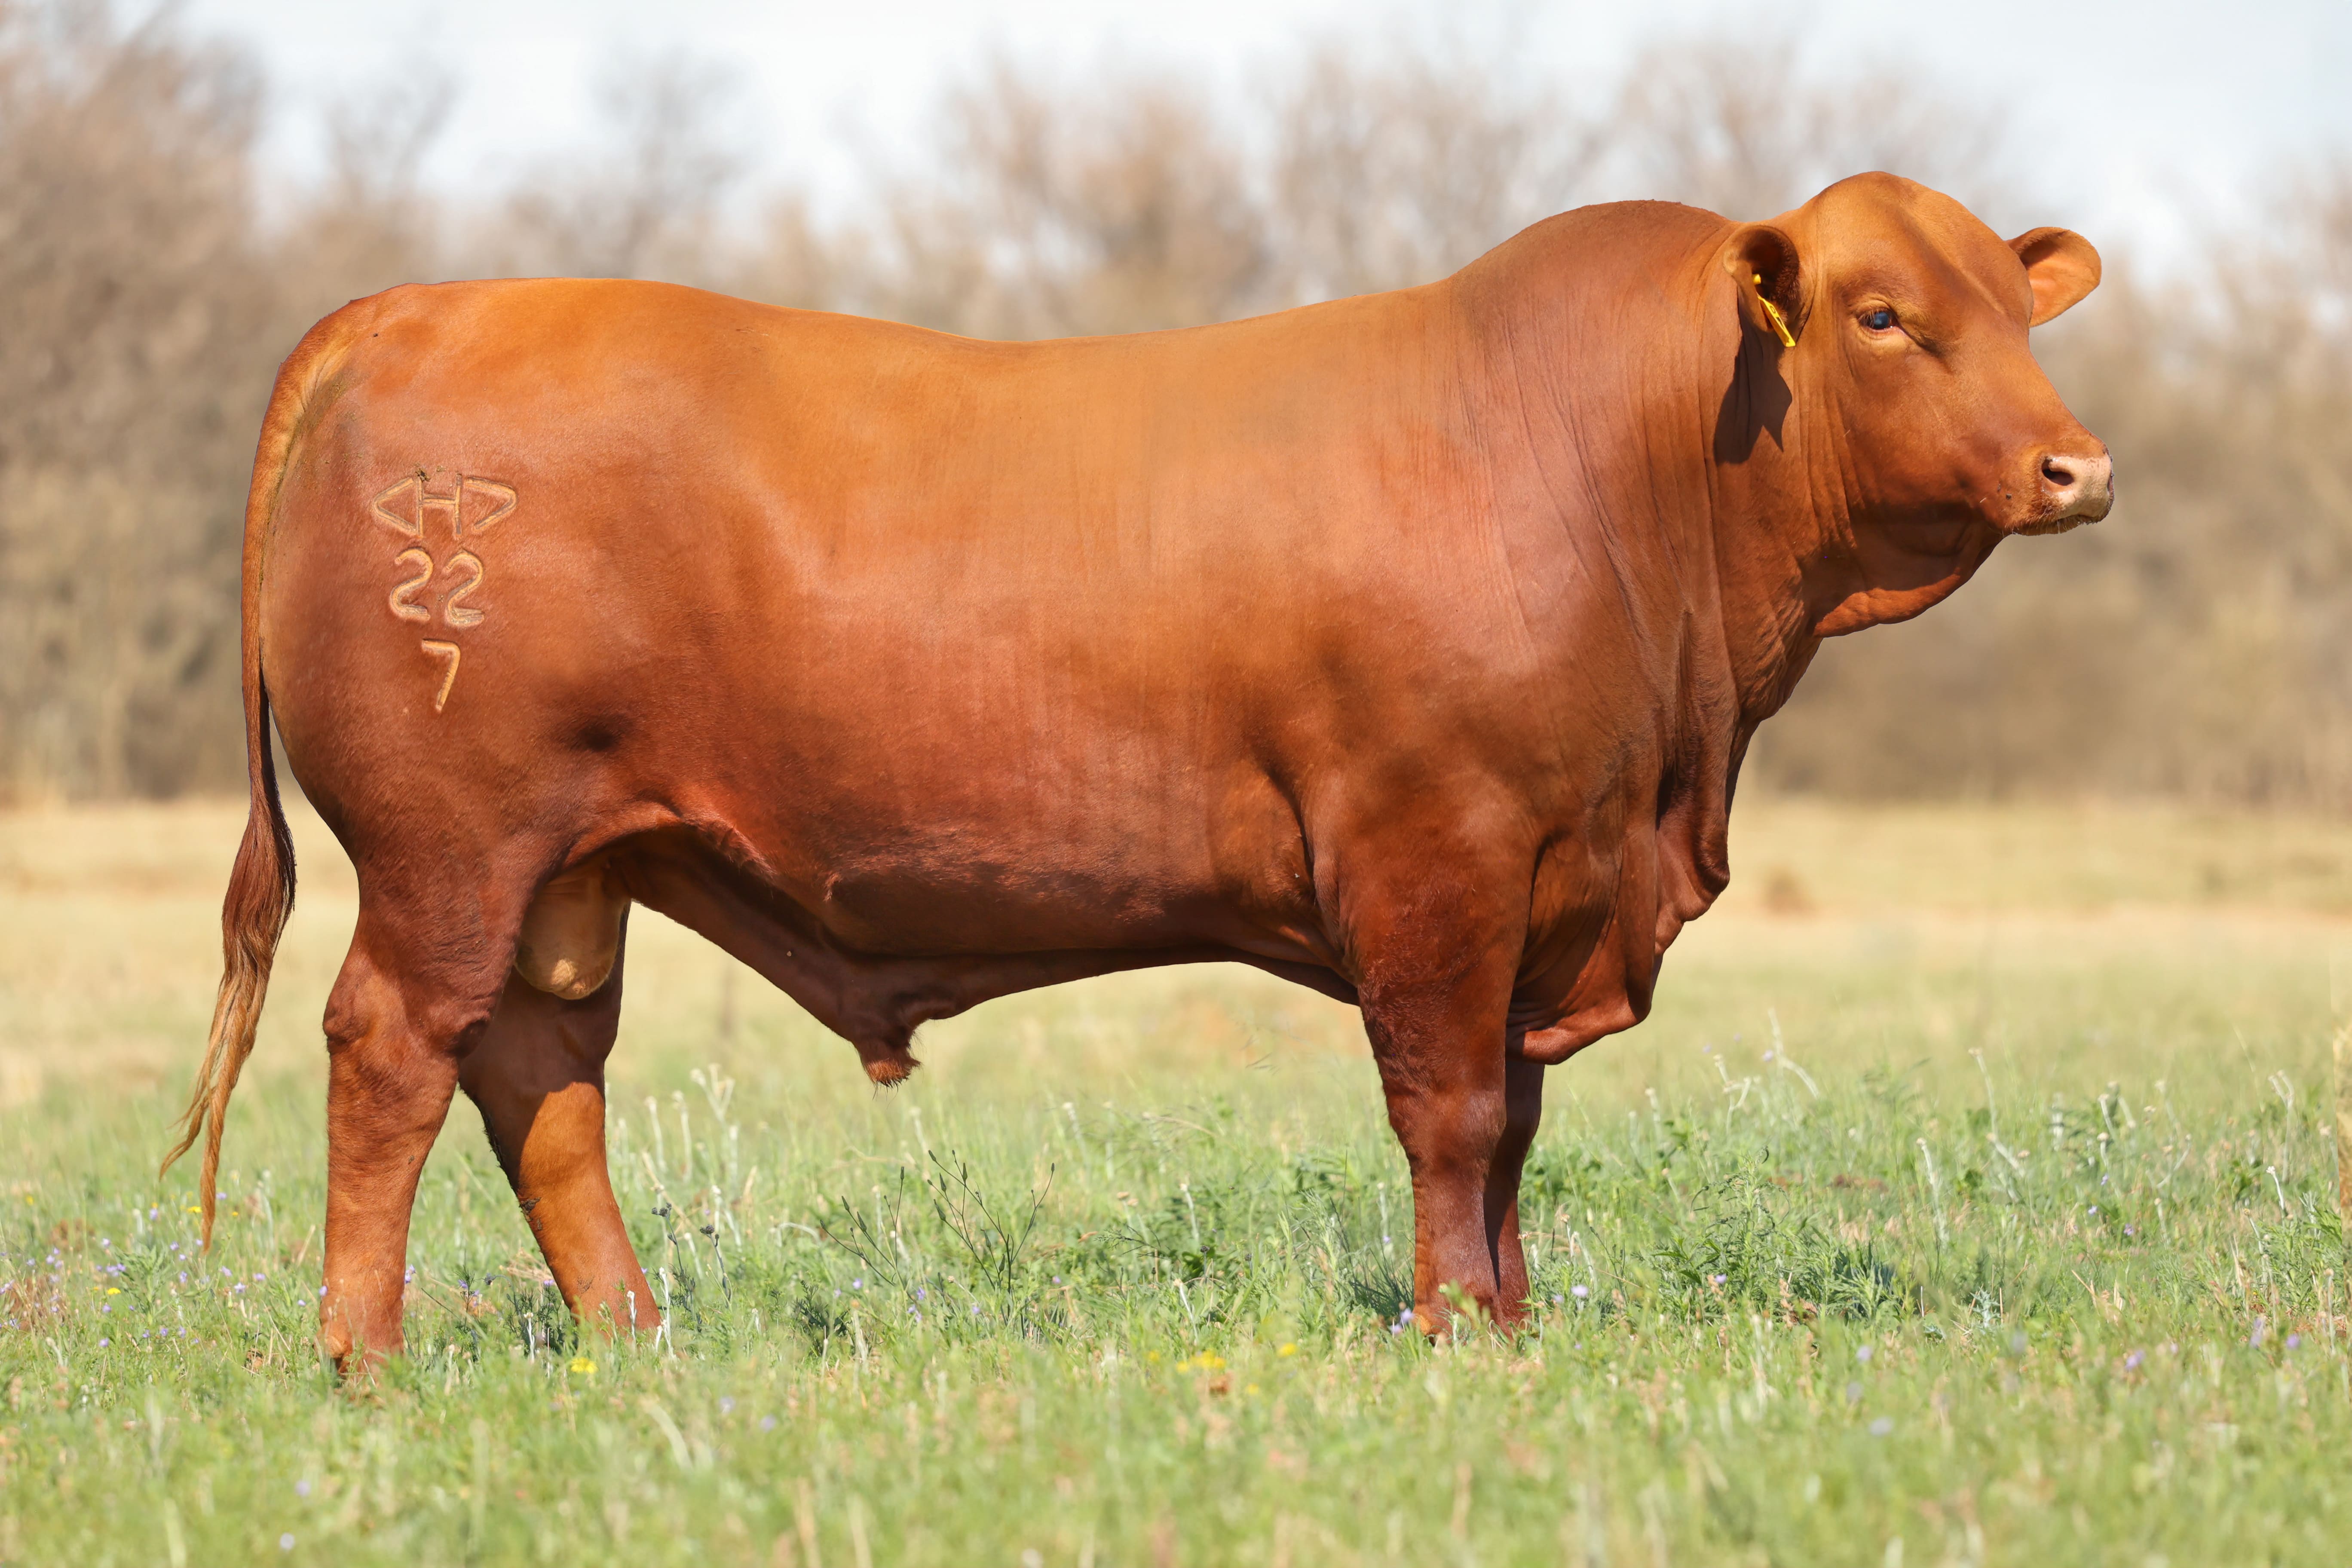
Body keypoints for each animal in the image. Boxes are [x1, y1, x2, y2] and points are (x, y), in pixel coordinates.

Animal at [171, 173, 2109, 1370]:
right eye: (1881, 315)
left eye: (2020, 310)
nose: (2079, 466)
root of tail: (414, 306)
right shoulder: (1436, 851)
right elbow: (1455, 1114)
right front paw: (1447, 1335)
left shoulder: (1539, 882)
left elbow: (1515, 1126)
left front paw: (1507, 1323)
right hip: (453, 847)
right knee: (394, 1053)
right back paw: (364, 1353)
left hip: (568, 873)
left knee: (542, 1075)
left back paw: (635, 1339)